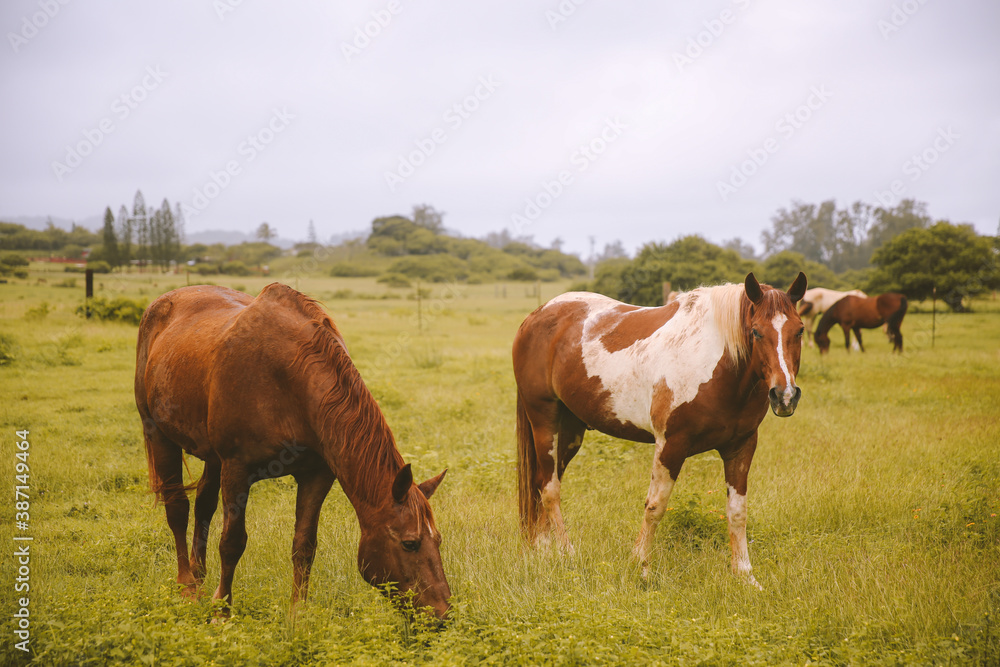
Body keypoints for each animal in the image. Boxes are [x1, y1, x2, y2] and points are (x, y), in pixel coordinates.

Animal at [512, 272, 808, 588]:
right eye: (755, 332)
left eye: (800, 330)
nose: (785, 396)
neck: (717, 365)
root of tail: (536, 316)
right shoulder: (670, 445)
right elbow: (655, 506)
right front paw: (640, 567)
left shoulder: (741, 447)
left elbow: (737, 512)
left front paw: (745, 575)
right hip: (544, 420)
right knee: (549, 488)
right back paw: (567, 552)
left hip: (569, 432)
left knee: (543, 483)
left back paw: (544, 548)